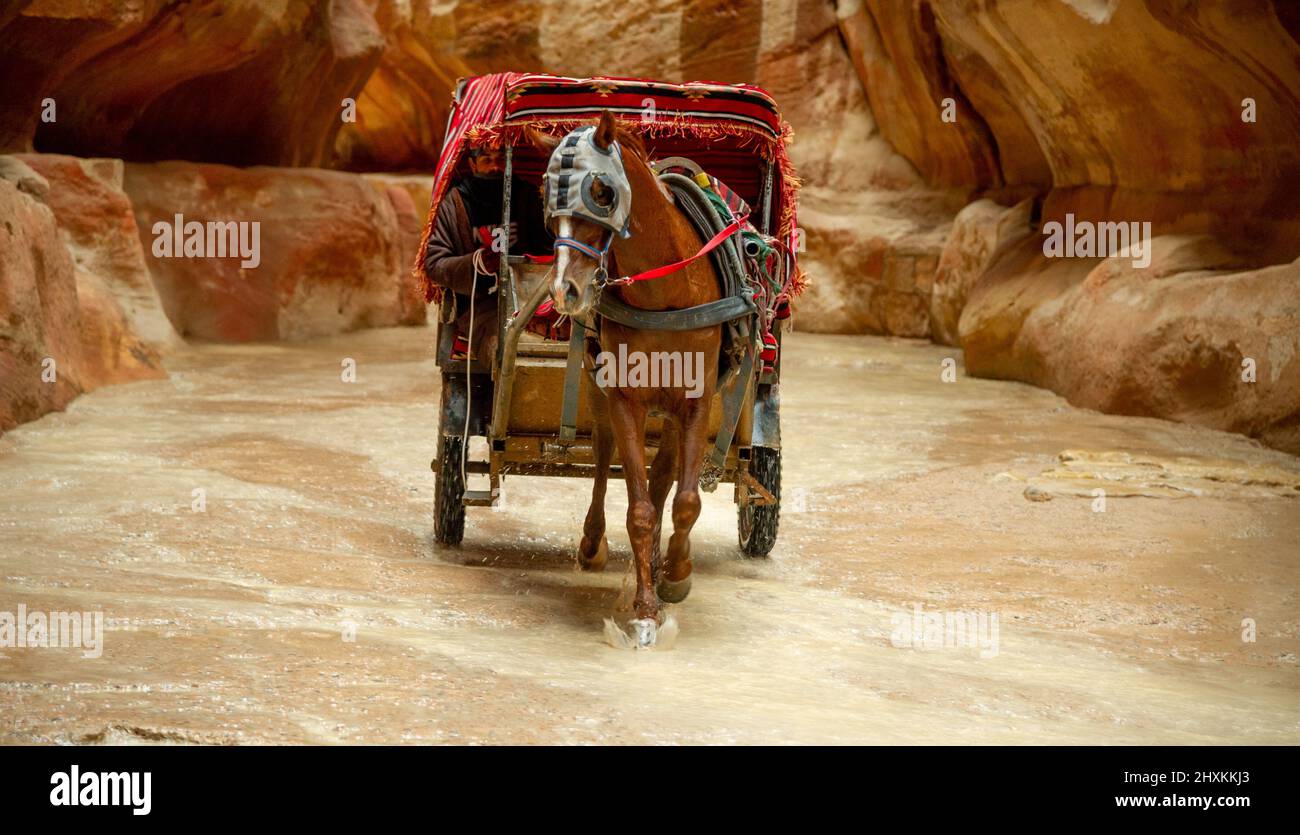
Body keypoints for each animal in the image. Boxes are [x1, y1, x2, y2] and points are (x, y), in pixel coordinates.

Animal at [530, 111, 733, 645]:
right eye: (543, 194)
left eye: (600, 192)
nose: (565, 291)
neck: (664, 293)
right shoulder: (624, 398)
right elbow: (638, 509)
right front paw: (644, 610)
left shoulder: (696, 400)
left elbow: (685, 501)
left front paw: (675, 575)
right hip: (600, 390)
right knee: (604, 458)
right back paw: (592, 543)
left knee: (666, 477)